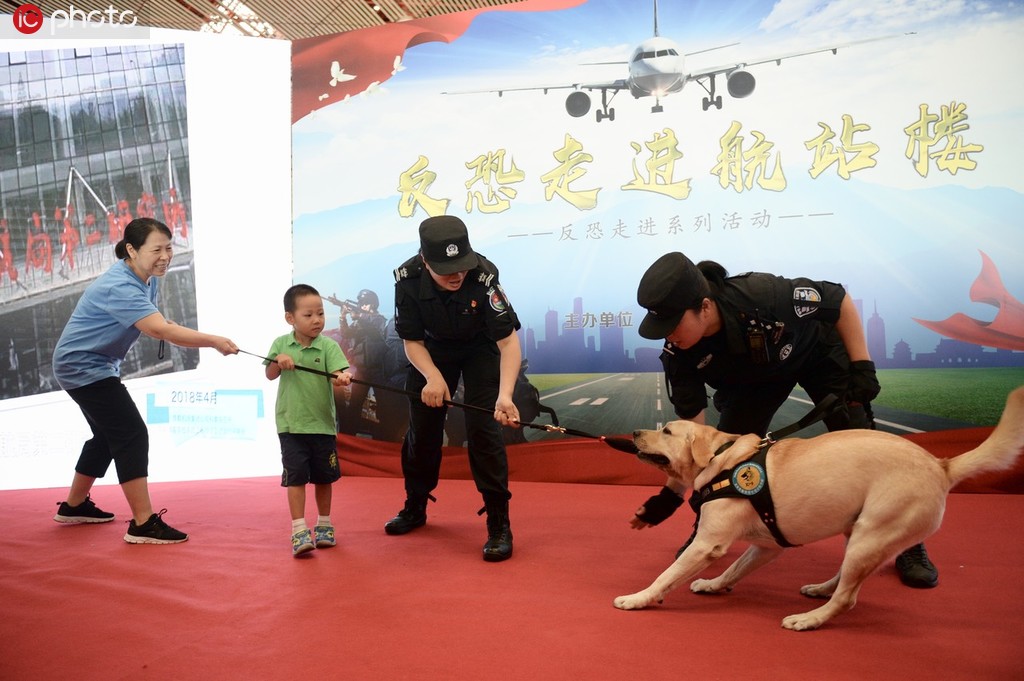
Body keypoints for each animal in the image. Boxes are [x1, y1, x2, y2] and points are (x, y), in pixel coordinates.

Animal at [610, 385, 1024, 630]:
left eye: (666, 431)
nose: (634, 433)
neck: (721, 458)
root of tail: (941, 464)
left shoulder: (706, 544)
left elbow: (666, 575)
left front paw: (639, 598)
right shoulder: (766, 546)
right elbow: (733, 570)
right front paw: (714, 584)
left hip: (872, 535)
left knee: (848, 598)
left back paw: (810, 619)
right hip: (856, 534)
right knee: (845, 578)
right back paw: (820, 589)